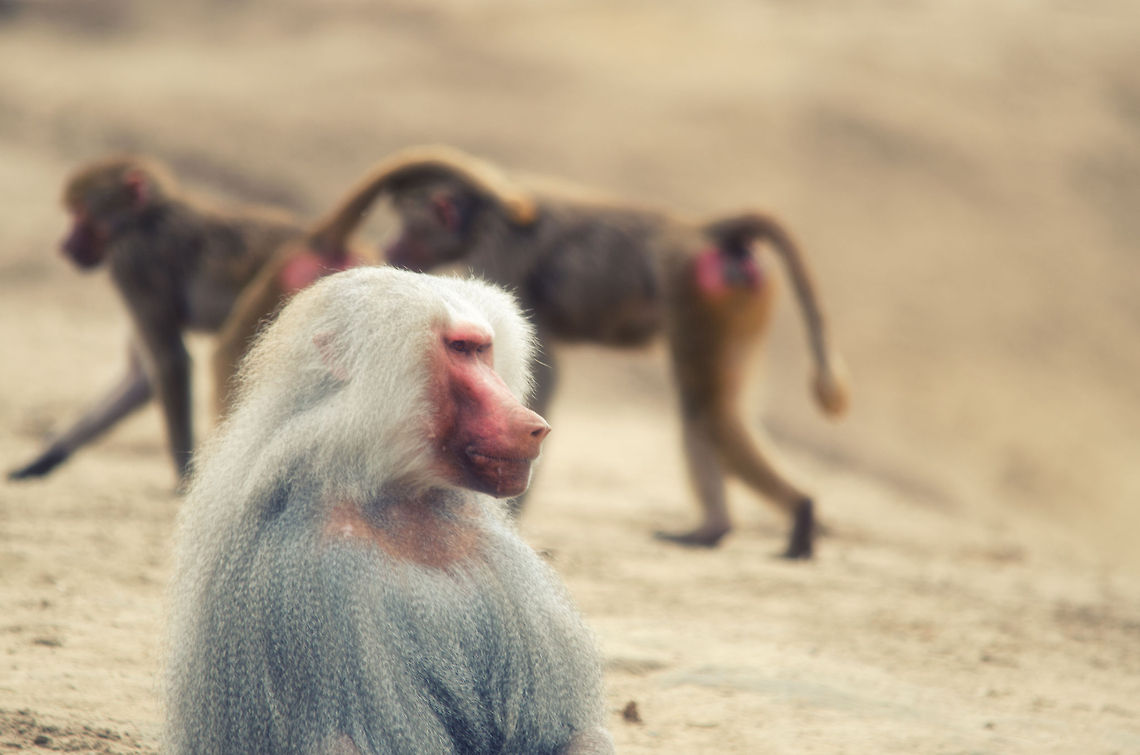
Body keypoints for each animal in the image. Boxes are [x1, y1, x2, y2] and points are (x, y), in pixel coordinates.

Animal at [8, 155, 305, 485]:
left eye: (82, 216)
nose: (64, 246)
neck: (146, 219)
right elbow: (141, 378)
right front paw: (46, 457)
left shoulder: (133, 262)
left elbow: (169, 361)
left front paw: (185, 477)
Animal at [165, 267, 613, 754]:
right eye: (459, 348)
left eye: (482, 349)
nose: (534, 426)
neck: (391, 491)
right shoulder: (323, 570)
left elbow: (564, 734)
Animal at [298, 145, 850, 559]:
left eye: (411, 224)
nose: (391, 246)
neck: (483, 215)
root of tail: (703, 230)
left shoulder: (498, 255)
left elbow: (539, 375)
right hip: (736, 303)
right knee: (705, 406)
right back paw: (715, 531)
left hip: (696, 295)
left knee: (708, 406)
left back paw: (798, 517)